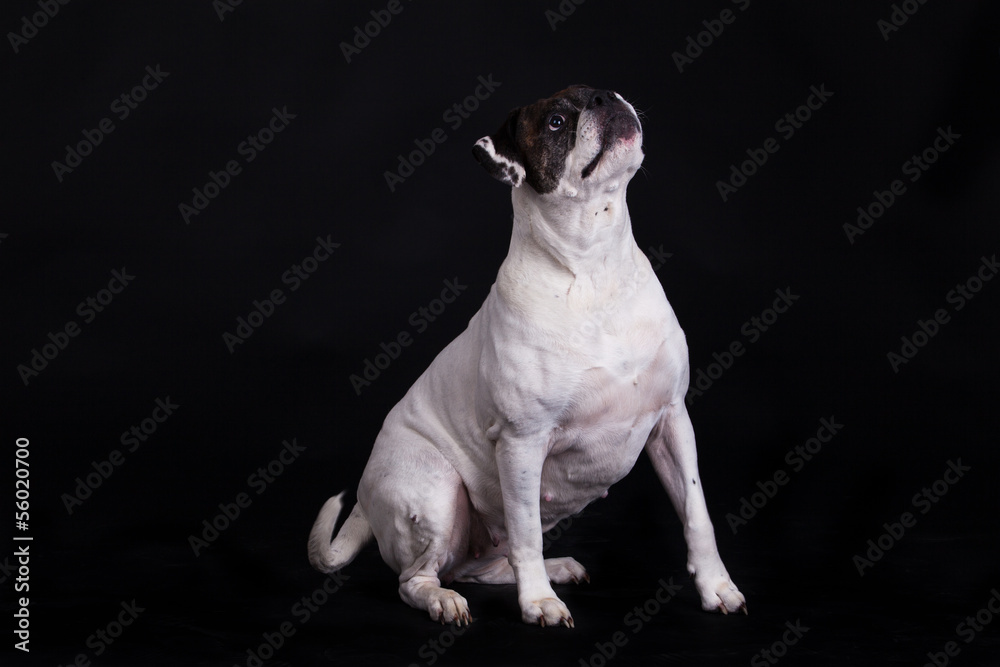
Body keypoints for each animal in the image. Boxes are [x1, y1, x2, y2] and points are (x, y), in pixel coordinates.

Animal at [308, 86, 748, 628]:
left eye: (608, 90)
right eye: (556, 121)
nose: (605, 97)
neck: (595, 267)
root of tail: (365, 500)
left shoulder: (672, 421)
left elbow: (696, 515)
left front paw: (716, 587)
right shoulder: (522, 443)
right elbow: (527, 534)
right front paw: (538, 602)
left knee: (477, 566)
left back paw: (555, 568)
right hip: (436, 490)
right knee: (419, 578)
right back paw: (445, 600)